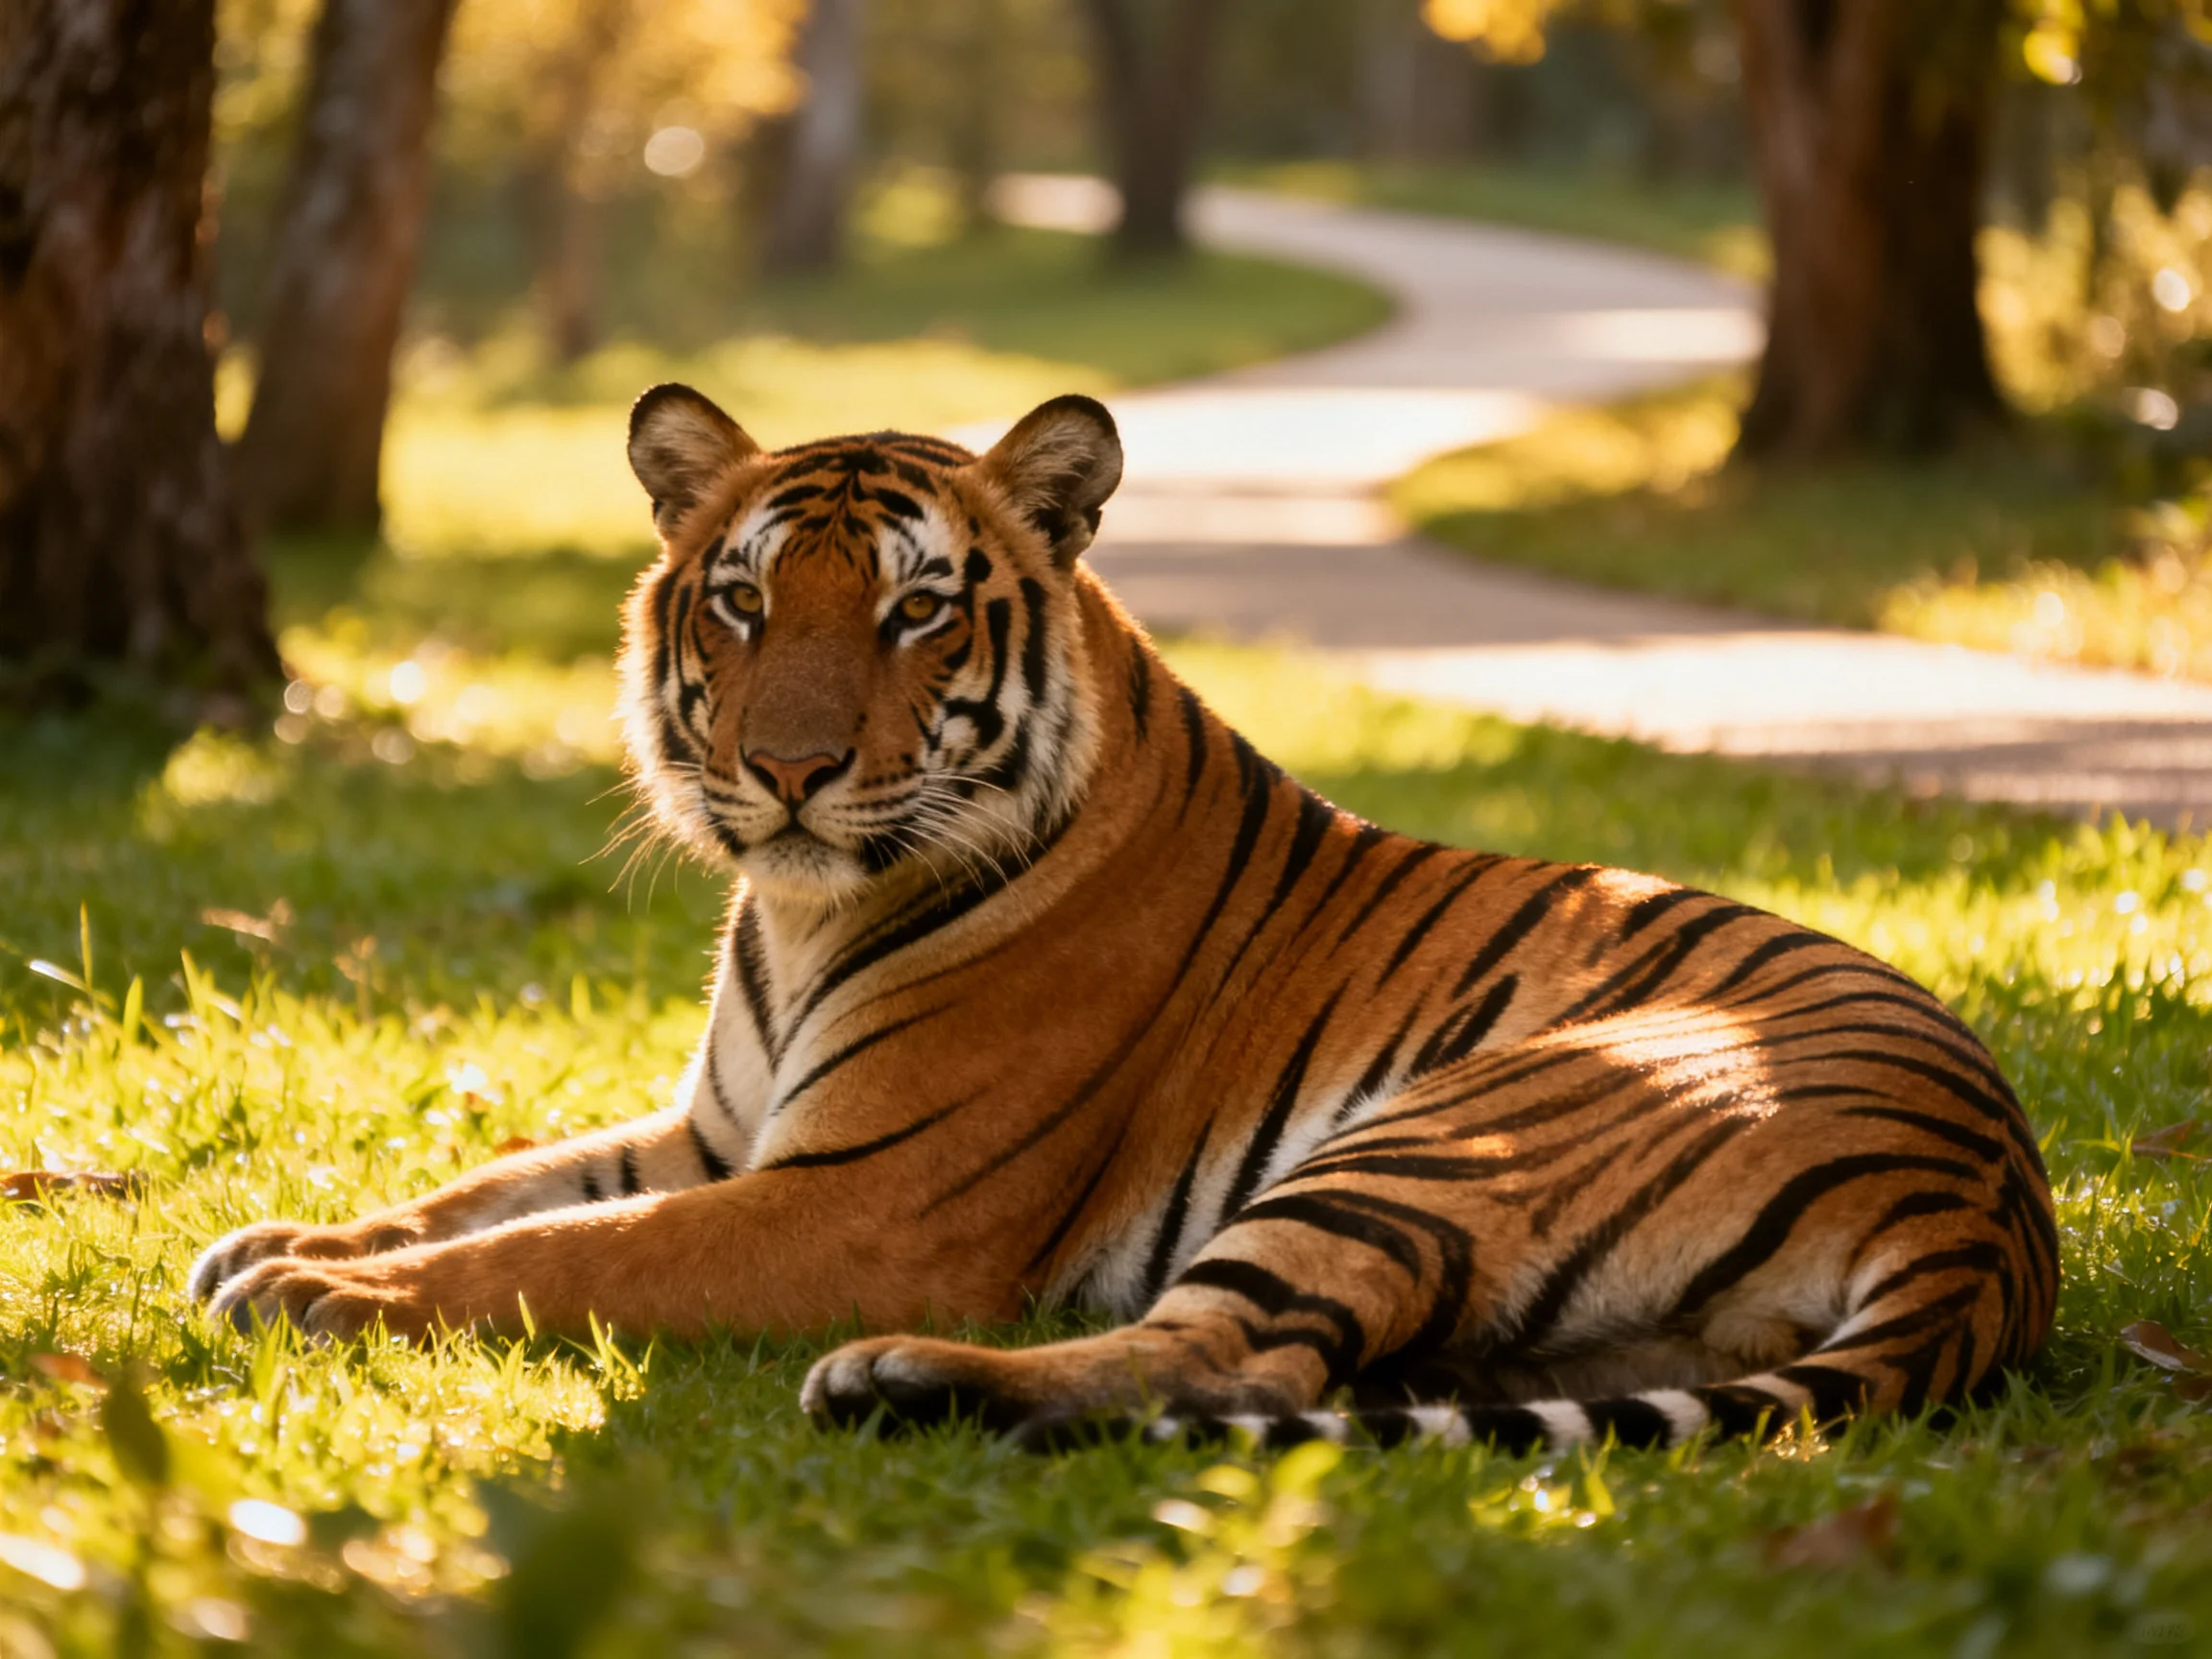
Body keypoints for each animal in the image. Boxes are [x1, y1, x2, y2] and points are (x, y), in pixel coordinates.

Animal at [188, 386, 2058, 1454]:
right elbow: (491, 1185)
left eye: (915, 611)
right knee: (1305, 1378)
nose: (787, 769)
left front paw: (313, 1297)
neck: (792, 915)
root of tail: (1990, 1206)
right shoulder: (717, 1131)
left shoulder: (858, 1201)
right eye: (742, 600)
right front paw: (273, 1237)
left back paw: (897, 1383)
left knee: (1228, 1363)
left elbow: (556, 1251)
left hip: (1454, 1129)